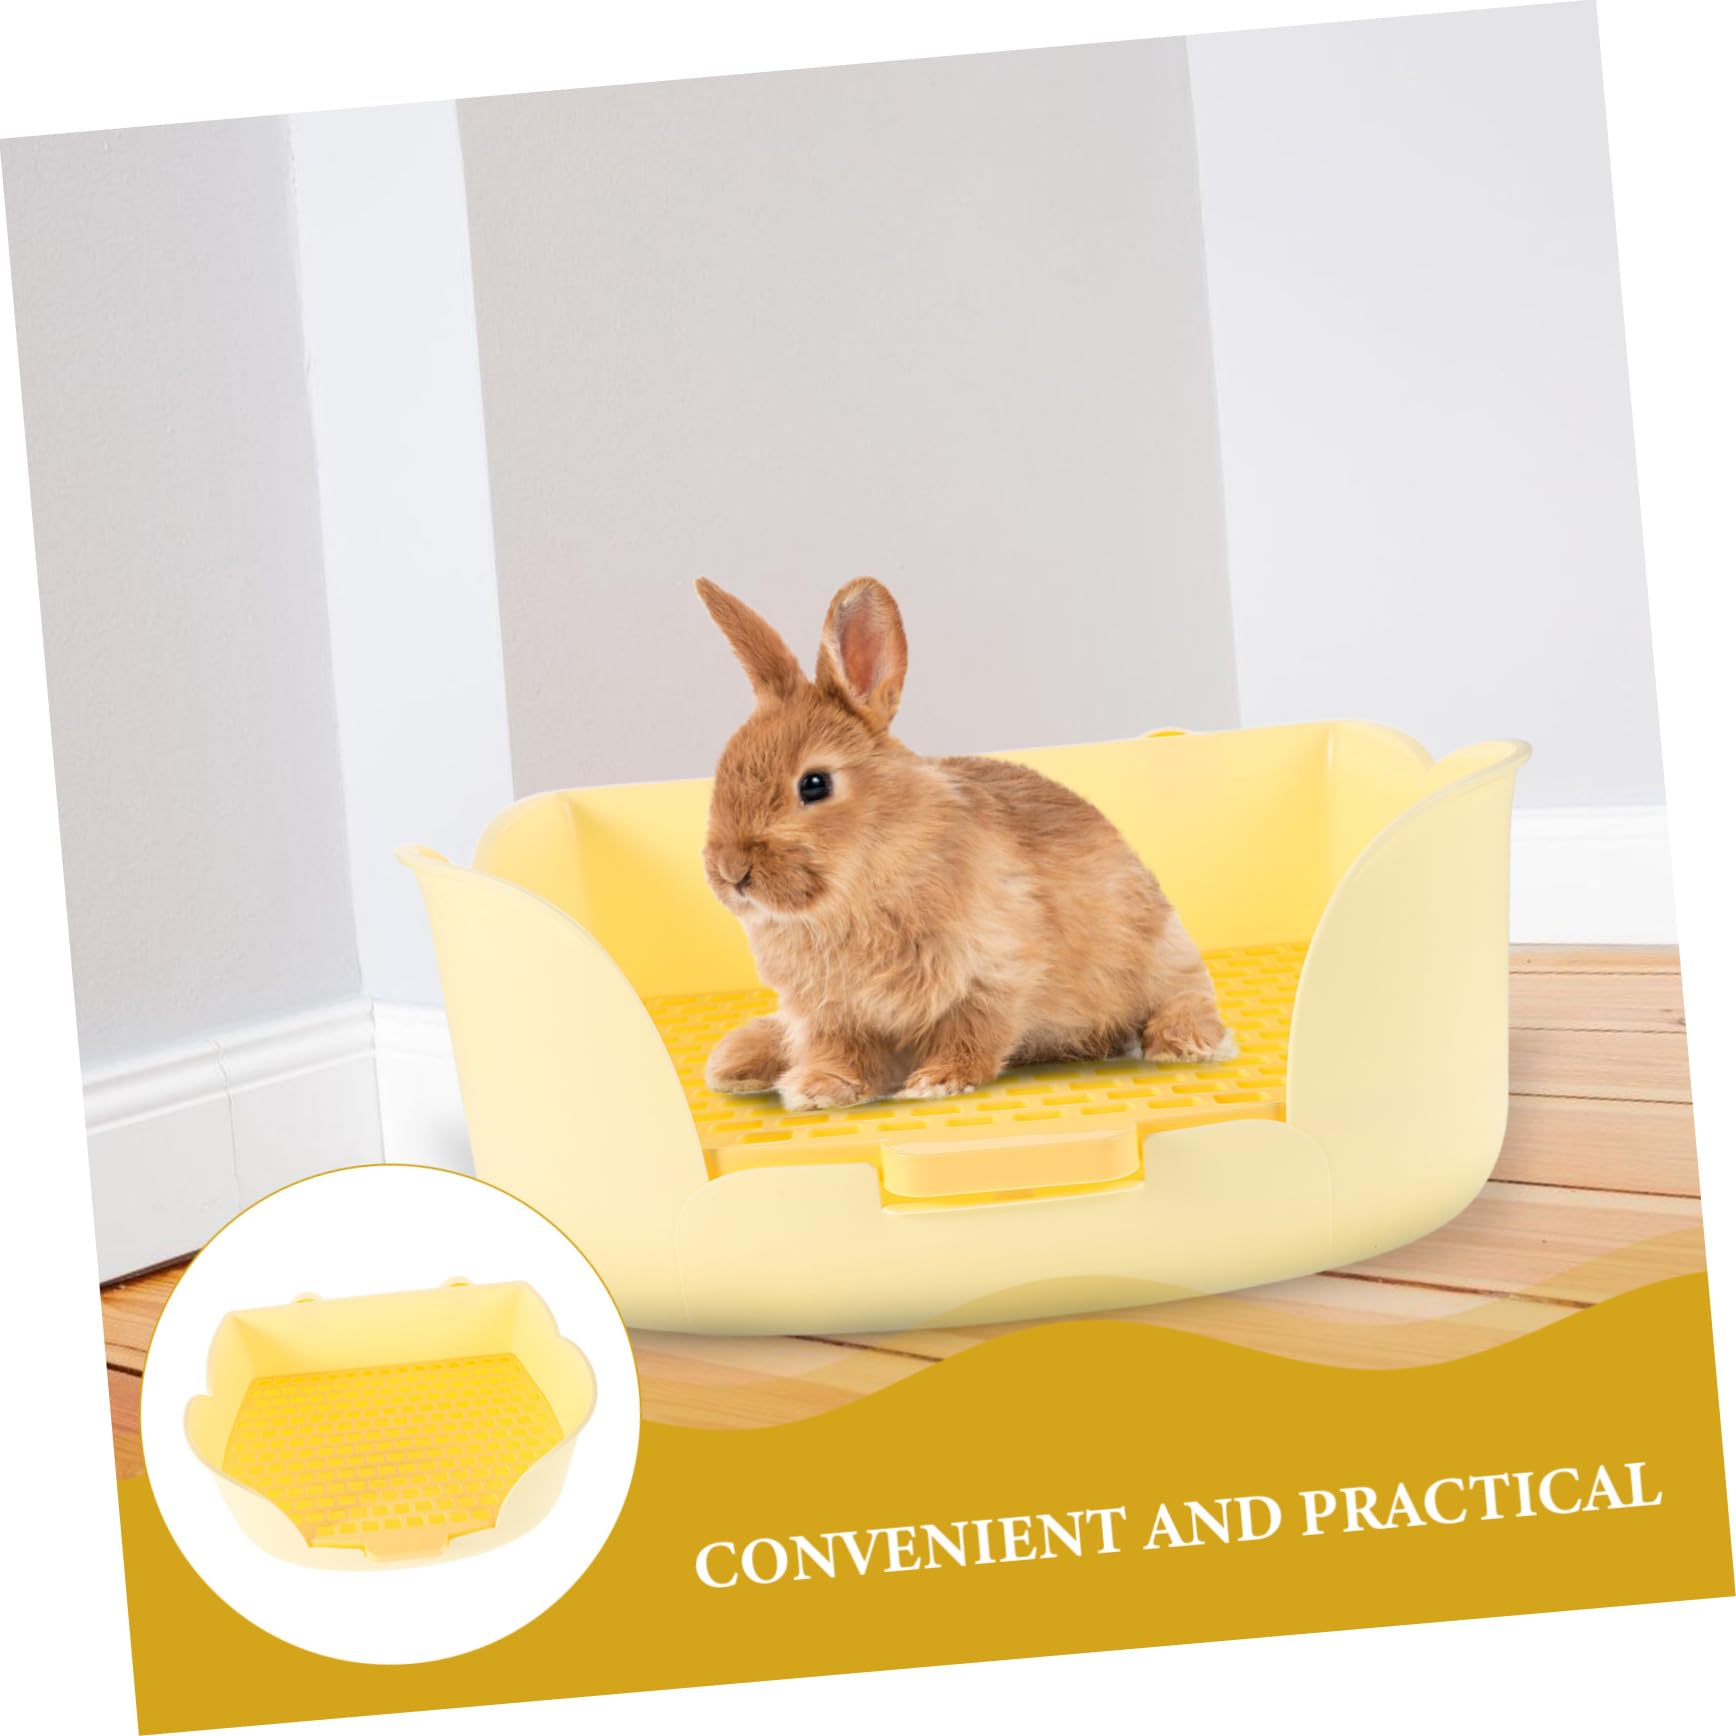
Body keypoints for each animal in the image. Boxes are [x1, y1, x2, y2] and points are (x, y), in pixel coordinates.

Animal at [695, 576, 1235, 1112]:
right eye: (724, 768)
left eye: (814, 784)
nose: (731, 871)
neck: (868, 873)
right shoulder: (832, 1013)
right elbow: (841, 1052)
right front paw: (820, 1089)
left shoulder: (990, 976)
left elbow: (972, 1033)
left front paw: (938, 1081)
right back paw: (736, 1061)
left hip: (1161, 958)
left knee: (1184, 996)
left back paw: (1183, 1043)